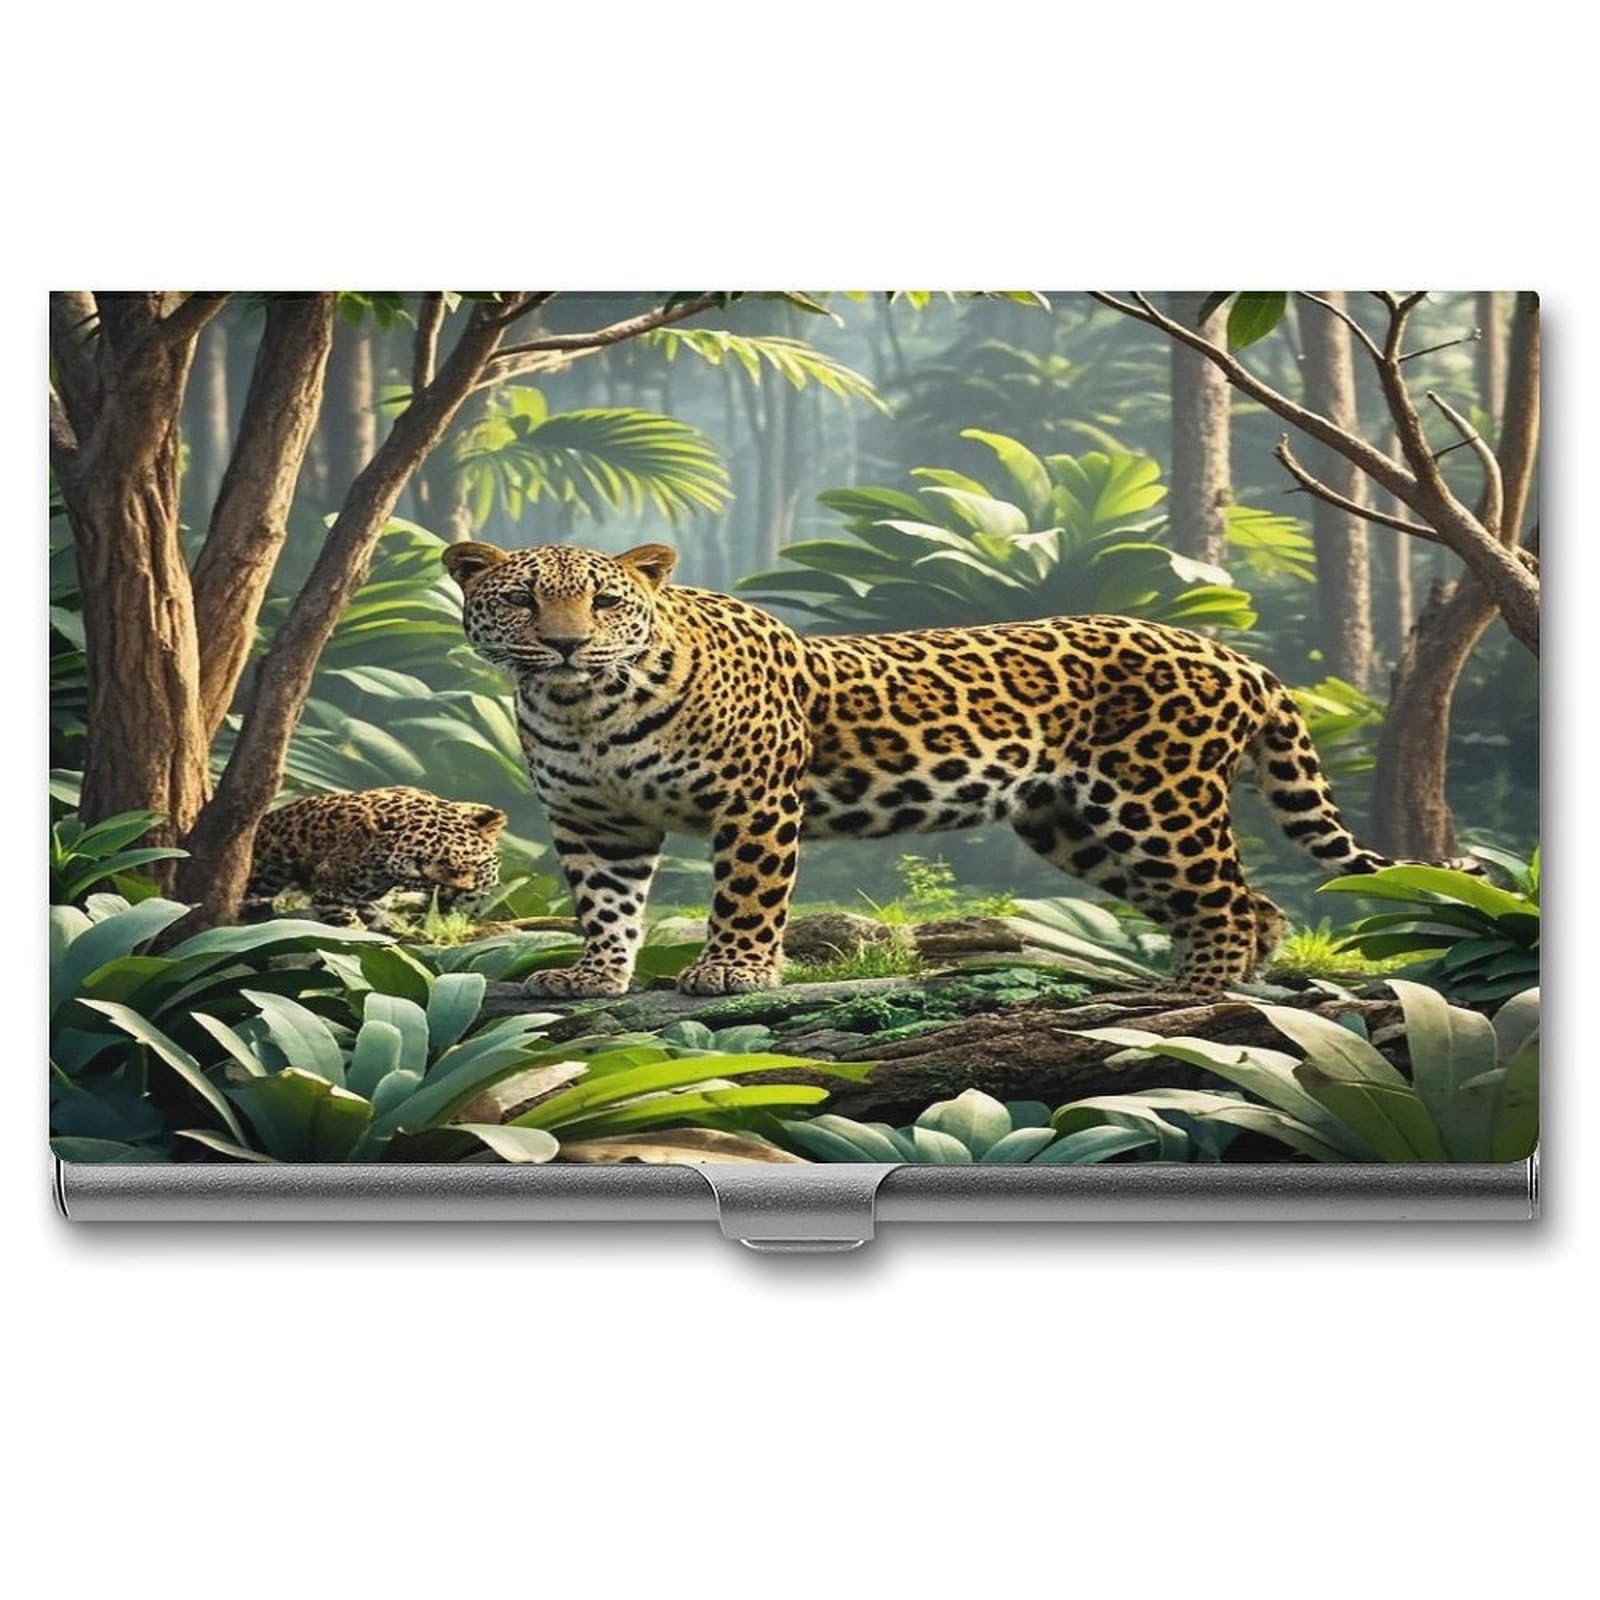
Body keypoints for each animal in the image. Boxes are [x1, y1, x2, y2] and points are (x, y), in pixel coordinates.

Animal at [442, 538, 1450, 999]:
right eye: (524, 601)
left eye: (606, 603)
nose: (567, 645)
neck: (585, 707)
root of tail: (1237, 655)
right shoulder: (596, 824)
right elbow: (607, 905)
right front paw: (593, 976)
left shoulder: (757, 802)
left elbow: (747, 896)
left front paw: (734, 972)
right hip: (1075, 824)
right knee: (1258, 904)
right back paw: (1224, 992)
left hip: (1158, 800)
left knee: (1229, 900)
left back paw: (1189, 999)